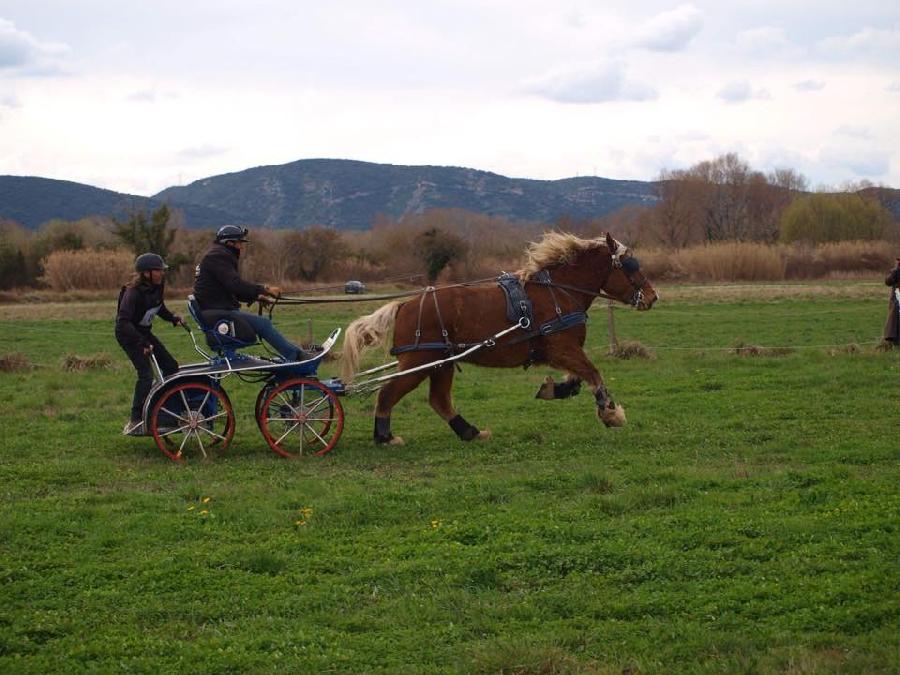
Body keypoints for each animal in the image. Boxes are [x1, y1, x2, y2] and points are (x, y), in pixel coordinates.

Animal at [342, 230, 656, 446]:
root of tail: (405, 304)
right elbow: (593, 374)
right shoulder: (562, 347)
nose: (652, 297)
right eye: (630, 265)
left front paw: (553, 389)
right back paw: (385, 436)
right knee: (388, 392)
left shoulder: (561, 351)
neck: (559, 291)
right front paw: (610, 413)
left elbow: (579, 379)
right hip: (420, 361)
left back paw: (469, 431)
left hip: (441, 362)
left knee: (439, 400)